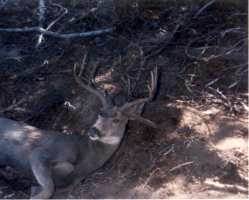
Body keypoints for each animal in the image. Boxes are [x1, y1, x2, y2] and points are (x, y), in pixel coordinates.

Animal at [0, 65, 159, 198]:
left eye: (117, 120)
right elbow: (50, 186)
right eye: (100, 113)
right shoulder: (41, 151)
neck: (85, 159)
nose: (93, 130)